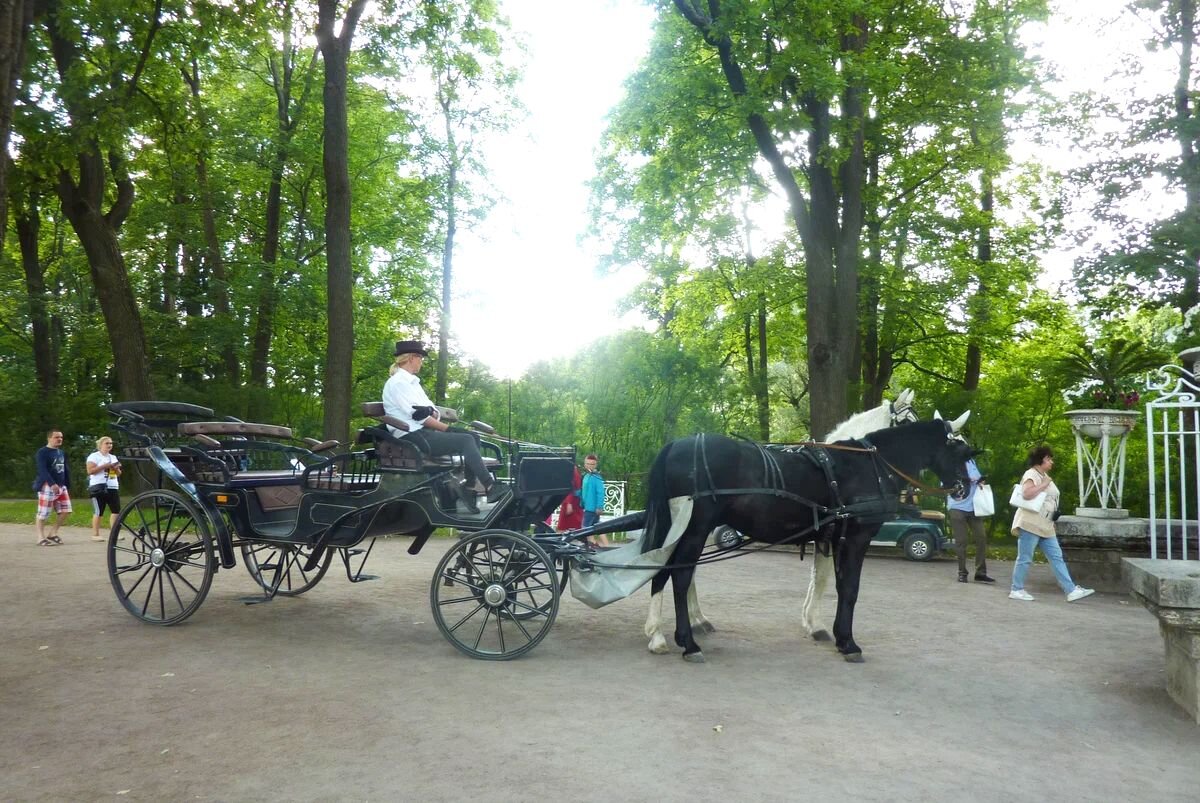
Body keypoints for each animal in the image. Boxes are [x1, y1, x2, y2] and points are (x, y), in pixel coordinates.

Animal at [638, 417, 974, 662]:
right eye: (960, 451)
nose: (968, 486)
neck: (869, 465)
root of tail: (677, 444)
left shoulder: (833, 539)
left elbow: (833, 584)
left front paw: (831, 632)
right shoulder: (856, 538)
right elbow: (850, 589)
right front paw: (848, 642)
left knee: (662, 570)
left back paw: (659, 635)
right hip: (695, 528)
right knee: (680, 575)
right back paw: (687, 642)